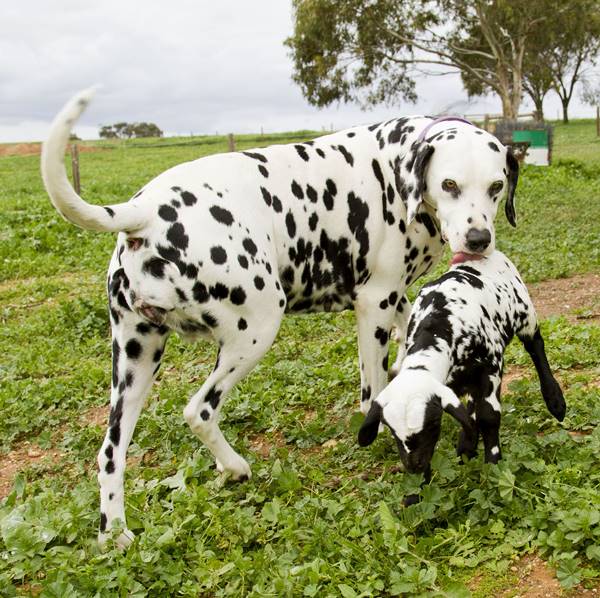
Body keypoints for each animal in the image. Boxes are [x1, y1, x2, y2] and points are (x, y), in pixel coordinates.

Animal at [43, 90, 520, 548]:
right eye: (449, 184)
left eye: (496, 186)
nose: (478, 238)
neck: (397, 167)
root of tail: (144, 210)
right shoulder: (375, 304)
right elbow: (373, 393)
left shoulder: (395, 300)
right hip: (256, 329)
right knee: (199, 410)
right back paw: (234, 466)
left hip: (136, 359)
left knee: (110, 453)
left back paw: (114, 531)